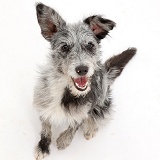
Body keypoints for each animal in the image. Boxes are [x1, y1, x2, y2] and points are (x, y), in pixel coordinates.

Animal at [33, 2, 136, 160]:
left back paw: (91, 129)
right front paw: (43, 146)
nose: (82, 69)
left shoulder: (86, 108)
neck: (66, 89)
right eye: (65, 47)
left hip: (102, 102)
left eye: (90, 45)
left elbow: (76, 124)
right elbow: (45, 127)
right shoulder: (44, 104)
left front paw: (64, 140)